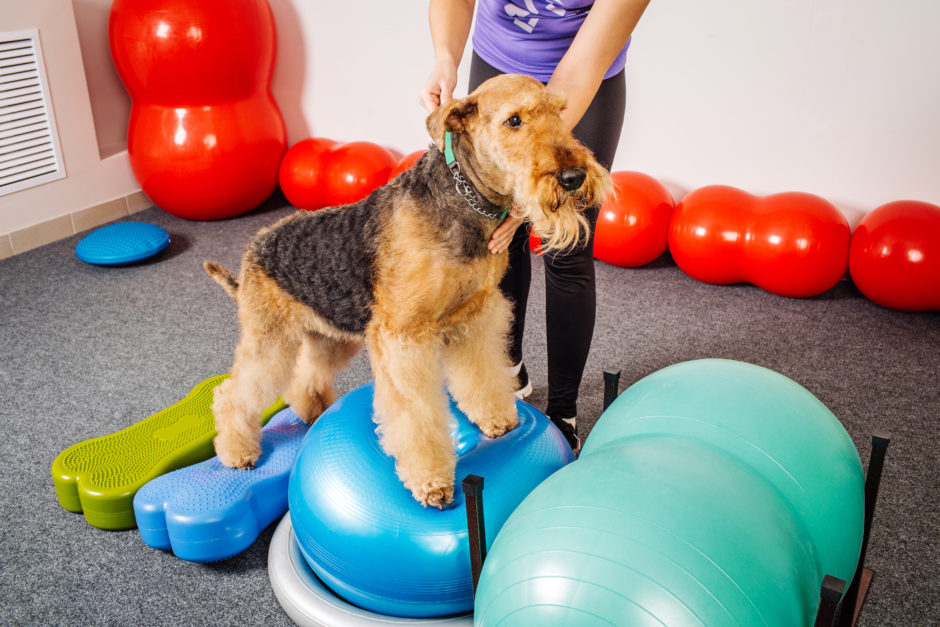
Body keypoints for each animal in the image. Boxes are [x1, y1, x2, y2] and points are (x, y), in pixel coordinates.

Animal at [204, 73, 608, 508]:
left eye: (560, 112)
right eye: (514, 120)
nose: (573, 177)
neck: (463, 200)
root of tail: (254, 249)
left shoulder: (474, 316)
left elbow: (481, 376)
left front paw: (497, 419)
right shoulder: (404, 336)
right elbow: (417, 413)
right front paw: (432, 482)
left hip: (331, 335)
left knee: (304, 377)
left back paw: (314, 411)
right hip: (271, 340)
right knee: (234, 393)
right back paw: (237, 451)